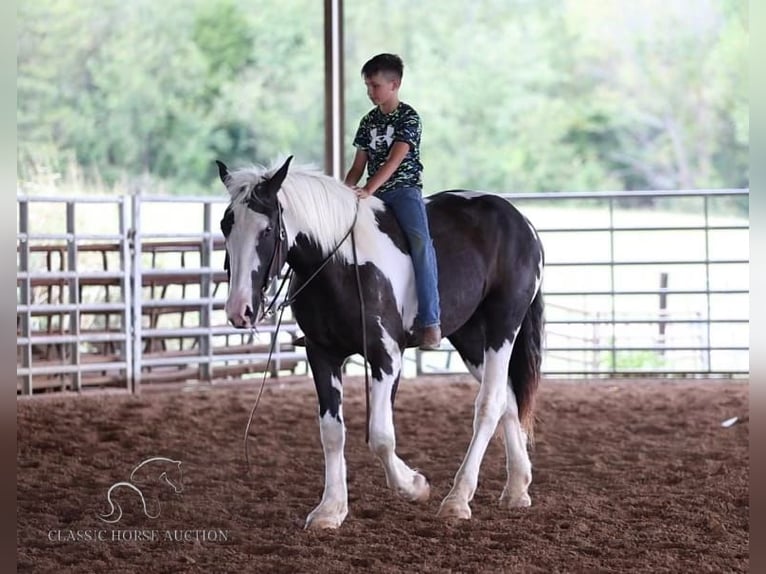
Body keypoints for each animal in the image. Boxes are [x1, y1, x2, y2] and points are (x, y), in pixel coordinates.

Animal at [216, 156, 544, 532]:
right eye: (226, 225)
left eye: (267, 230)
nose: (239, 310)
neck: (341, 261)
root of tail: (520, 221)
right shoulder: (322, 354)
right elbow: (332, 432)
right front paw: (330, 509)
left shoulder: (386, 357)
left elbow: (380, 436)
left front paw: (414, 485)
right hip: (470, 336)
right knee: (509, 399)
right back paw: (517, 488)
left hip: (504, 324)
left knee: (490, 404)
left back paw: (458, 499)